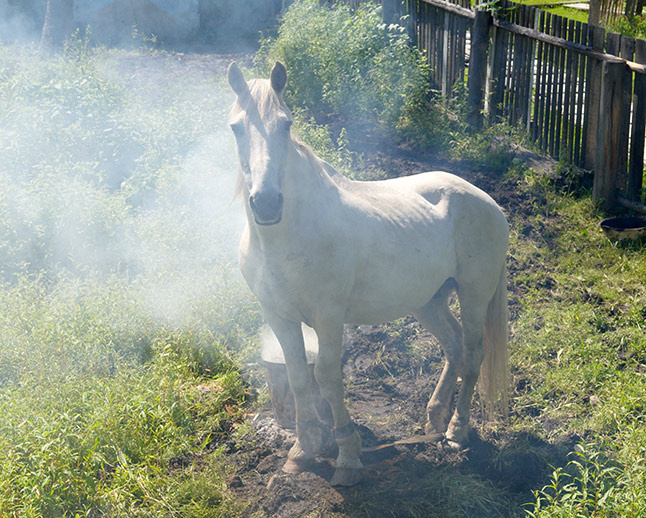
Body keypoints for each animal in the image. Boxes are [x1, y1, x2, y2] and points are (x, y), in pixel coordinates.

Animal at [227, 61, 509, 487]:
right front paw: (301, 453)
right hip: (428, 301)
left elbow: (327, 376)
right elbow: (297, 376)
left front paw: (347, 457)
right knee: (454, 346)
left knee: (473, 352)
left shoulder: (328, 317)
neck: (288, 235)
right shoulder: (277, 315)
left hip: (474, 294)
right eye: (236, 128)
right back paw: (434, 418)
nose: (266, 203)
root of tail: (488, 201)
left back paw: (456, 432)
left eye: (286, 125)